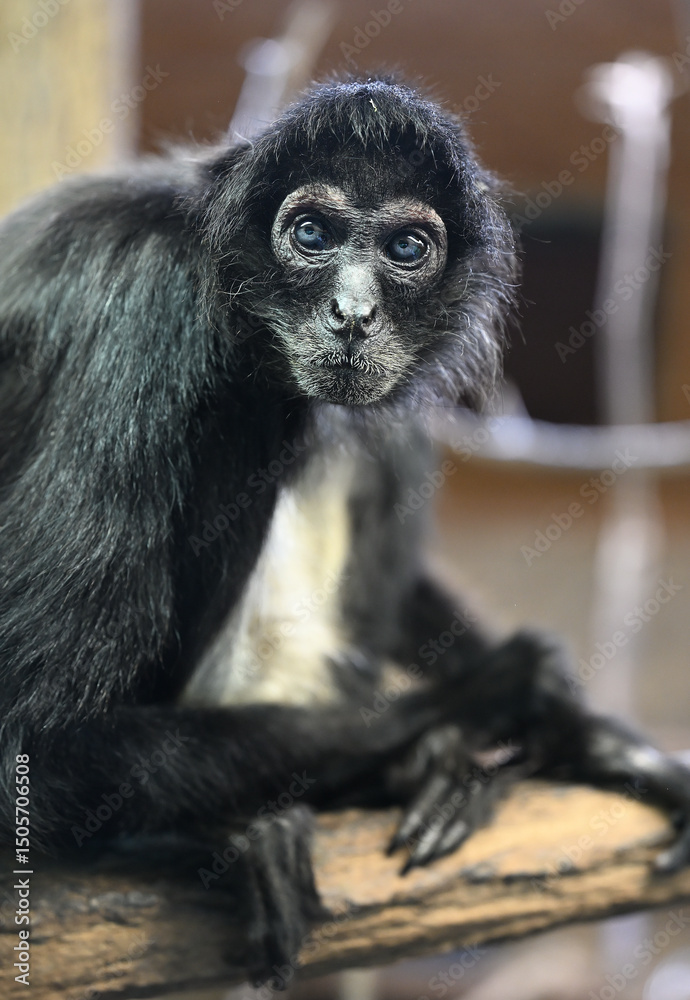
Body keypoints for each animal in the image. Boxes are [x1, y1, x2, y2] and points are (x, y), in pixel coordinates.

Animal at [1, 76, 689, 988]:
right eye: (312, 235)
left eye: (406, 247)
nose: (353, 313)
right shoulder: (143, 319)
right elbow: (38, 748)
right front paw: (481, 705)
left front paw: (585, 733)